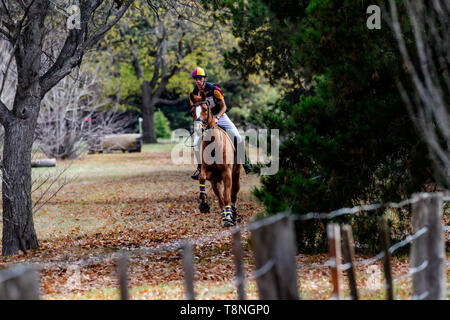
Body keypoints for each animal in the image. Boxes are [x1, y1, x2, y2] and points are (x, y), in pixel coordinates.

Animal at [190, 90, 243, 228]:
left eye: (205, 109)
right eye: (192, 111)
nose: (198, 129)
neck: (213, 145)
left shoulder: (227, 174)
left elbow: (227, 196)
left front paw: (229, 218)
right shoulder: (210, 175)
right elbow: (202, 178)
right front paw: (204, 205)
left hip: (235, 174)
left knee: (233, 194)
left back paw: (233, 214)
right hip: (216, 181)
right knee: (221, 199)